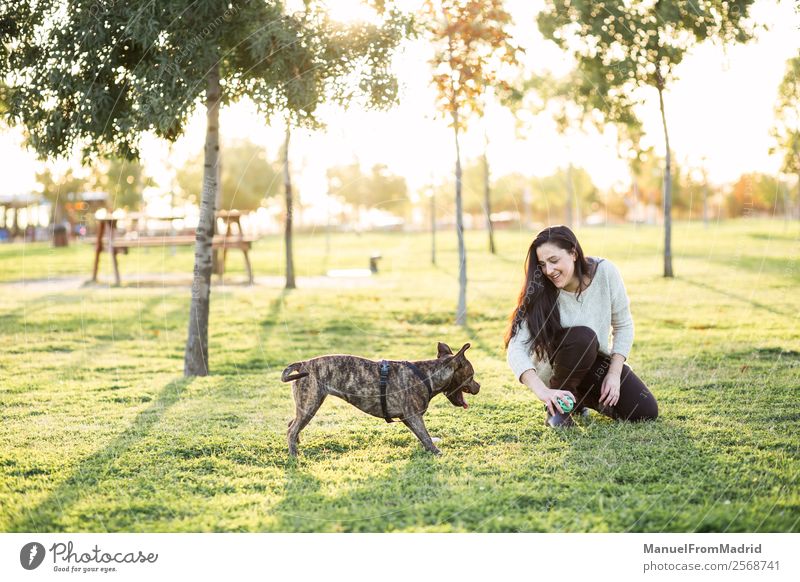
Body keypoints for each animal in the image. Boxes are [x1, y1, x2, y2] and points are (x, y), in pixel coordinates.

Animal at [282, 344, 482, 458]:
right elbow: (425, 435)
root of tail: (303, 363)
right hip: (310, 404)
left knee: (292, 423)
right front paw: (437, 453)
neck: (428, 375)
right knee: (292, 429)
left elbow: (422, 436)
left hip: (306, 405)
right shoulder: (414, 416)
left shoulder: (408, 419)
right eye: (471, 375)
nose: (479, 386)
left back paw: (298, 444)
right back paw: (294, 456)